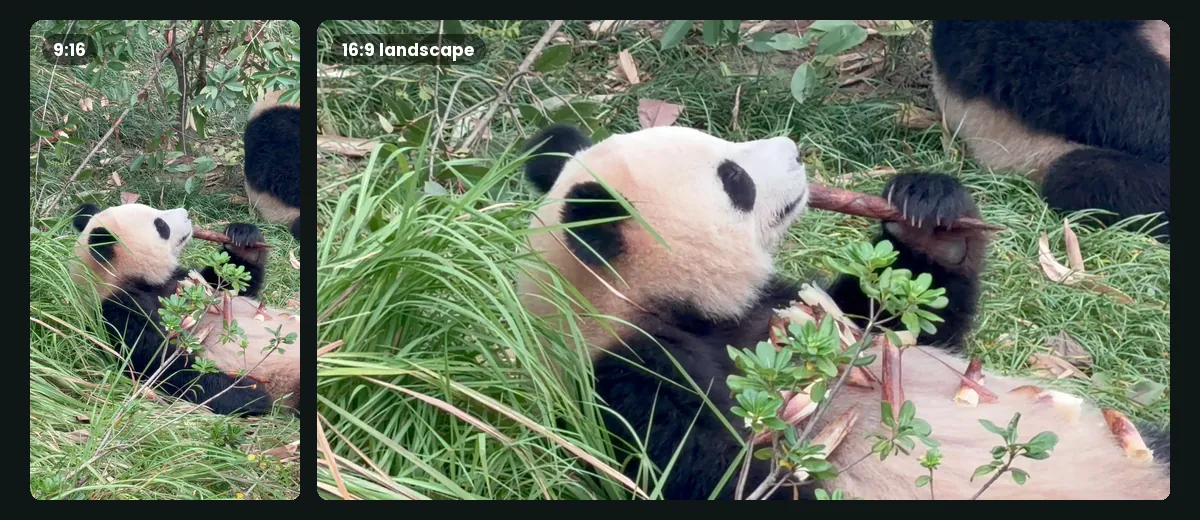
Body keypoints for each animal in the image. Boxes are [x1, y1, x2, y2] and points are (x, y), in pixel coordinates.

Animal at [69, 202, 301, 416]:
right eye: (160, 226)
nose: (186, 213)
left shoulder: (191, 284)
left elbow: (230, 285)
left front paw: (244, 239)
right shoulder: (119, 311)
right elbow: (161, 363)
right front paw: (250, 394)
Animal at [516, 123, 1170, 500]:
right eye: (734, 179)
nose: (794, 149)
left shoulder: (803, 312)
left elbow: (905, 323)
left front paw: (931, 212)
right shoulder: (640, 382)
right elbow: (733, 479)